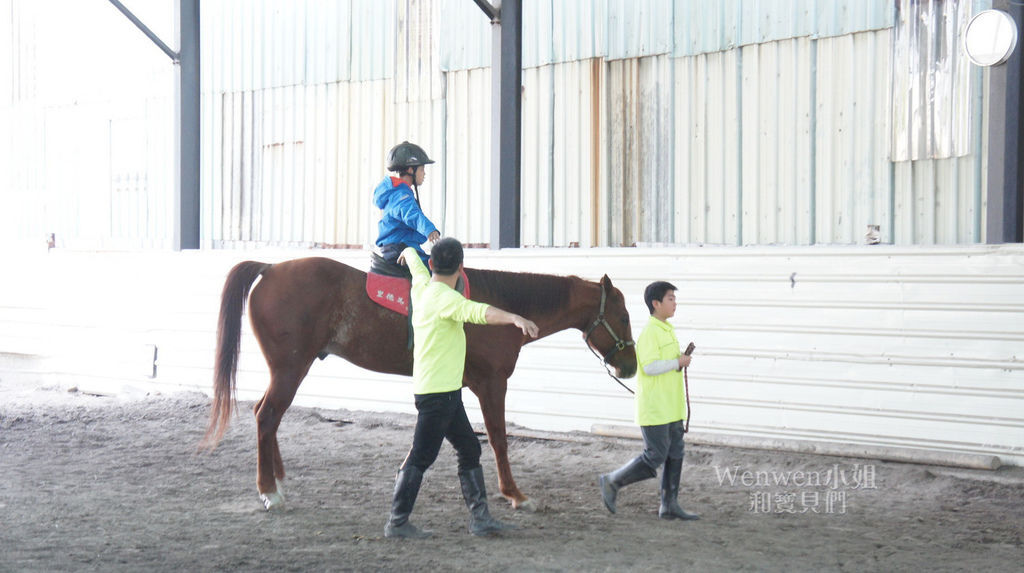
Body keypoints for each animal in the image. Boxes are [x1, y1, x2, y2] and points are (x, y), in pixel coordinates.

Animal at [202, 254, 634, 509]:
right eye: (625, 316)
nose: (629, 366)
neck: (498, 308)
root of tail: (271, 268)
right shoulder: (492, 384)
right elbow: (497, 438)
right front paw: (513, 493)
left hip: (288, 370)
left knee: (268, 416)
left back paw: (277, 481)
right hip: (289, 369)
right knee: (267, 416)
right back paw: (268, 490)